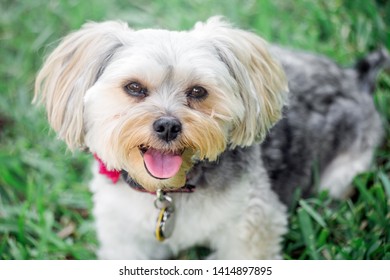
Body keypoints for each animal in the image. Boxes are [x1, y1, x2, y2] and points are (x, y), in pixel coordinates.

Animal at [35, 16, 386, 260]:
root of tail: (354, 78)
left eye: (197, 92)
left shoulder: (252, 227)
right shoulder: (124, 236)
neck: (172, 190)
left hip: (343, 173)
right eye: (134, 88)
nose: (167, 126)